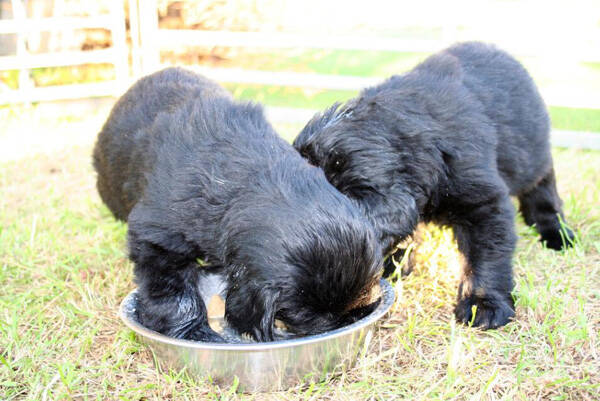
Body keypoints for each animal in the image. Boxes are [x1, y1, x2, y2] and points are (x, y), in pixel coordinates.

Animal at [296, 41, 576, 328]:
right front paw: (396, 264)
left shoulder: (485, 202)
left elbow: (486, 254)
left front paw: (483, 305)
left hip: (532, 153)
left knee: (542, 185)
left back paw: (557, 233)